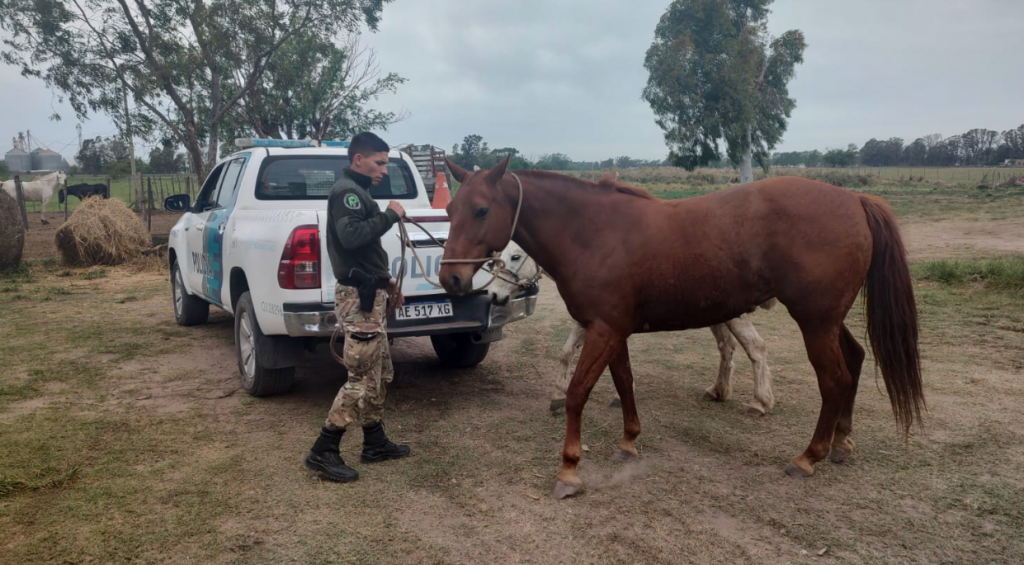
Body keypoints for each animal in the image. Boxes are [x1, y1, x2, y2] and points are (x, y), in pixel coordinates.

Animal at [436, 155, 925, 499]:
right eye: (450, 208)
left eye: (482, 210)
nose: (451, 280)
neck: (593, 232)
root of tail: (854, 200)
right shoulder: (613, 329)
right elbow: (624, 382)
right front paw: (629, 442)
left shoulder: (603, 329)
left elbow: (578, 393)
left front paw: (569, 471)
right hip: (828, 320)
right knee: (855, 361)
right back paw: (842, 443)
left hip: (815, 321)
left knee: (835, 378)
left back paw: (809, 455)